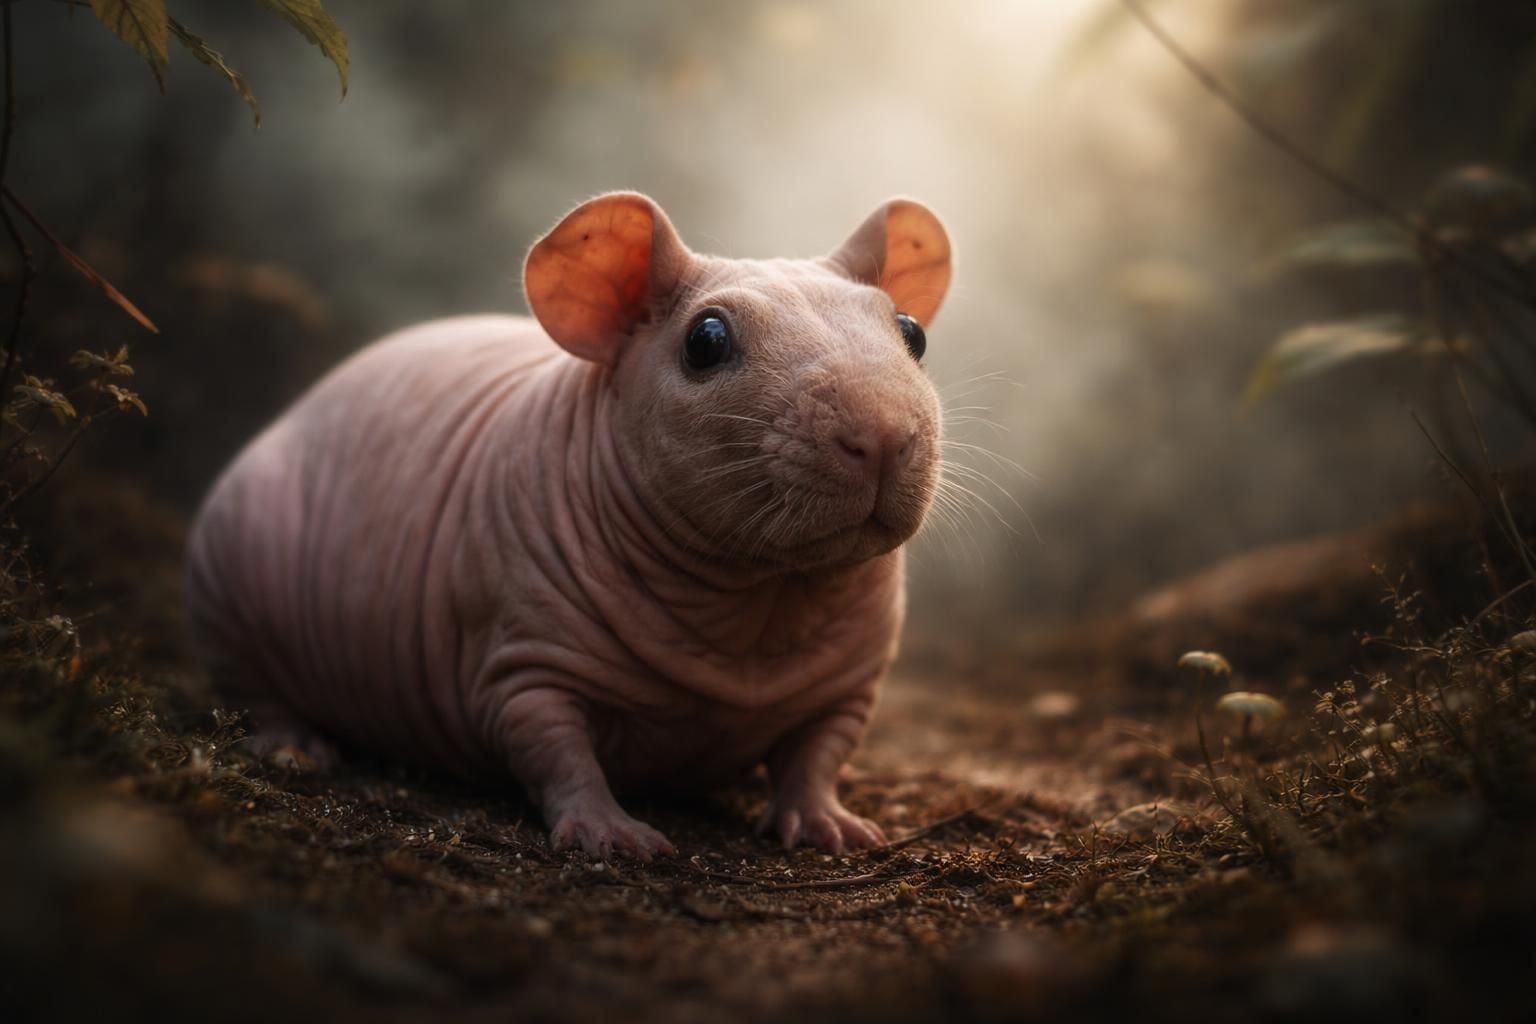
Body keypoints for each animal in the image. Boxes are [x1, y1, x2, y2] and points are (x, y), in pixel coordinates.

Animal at [185, 192, 952, 859]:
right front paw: (605, 828)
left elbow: (822, 748)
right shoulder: (524, 657)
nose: (882, 435)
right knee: (249, 679)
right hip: (231, 558)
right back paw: (292, 744)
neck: (761, 599)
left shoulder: (853, 679)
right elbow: (551, 742)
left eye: (911, 333)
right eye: (706, 340)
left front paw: (826, 818)